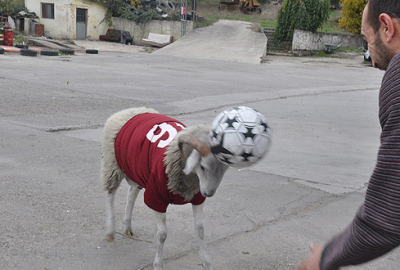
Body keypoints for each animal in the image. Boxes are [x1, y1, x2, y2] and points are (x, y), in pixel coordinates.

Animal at [100, 107, 228, 270]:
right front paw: (158, 264)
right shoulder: (156, 197)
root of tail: (130, 110)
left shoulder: (197, 198)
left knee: (131, 193)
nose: (208, 193)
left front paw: (207, 263)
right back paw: (111, 230)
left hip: (138, 169)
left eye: (224, 169)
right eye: (203, 166)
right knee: (110, 194)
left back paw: (127, 226)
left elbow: (200, 230)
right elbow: (162, 235)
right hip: (112, 164)